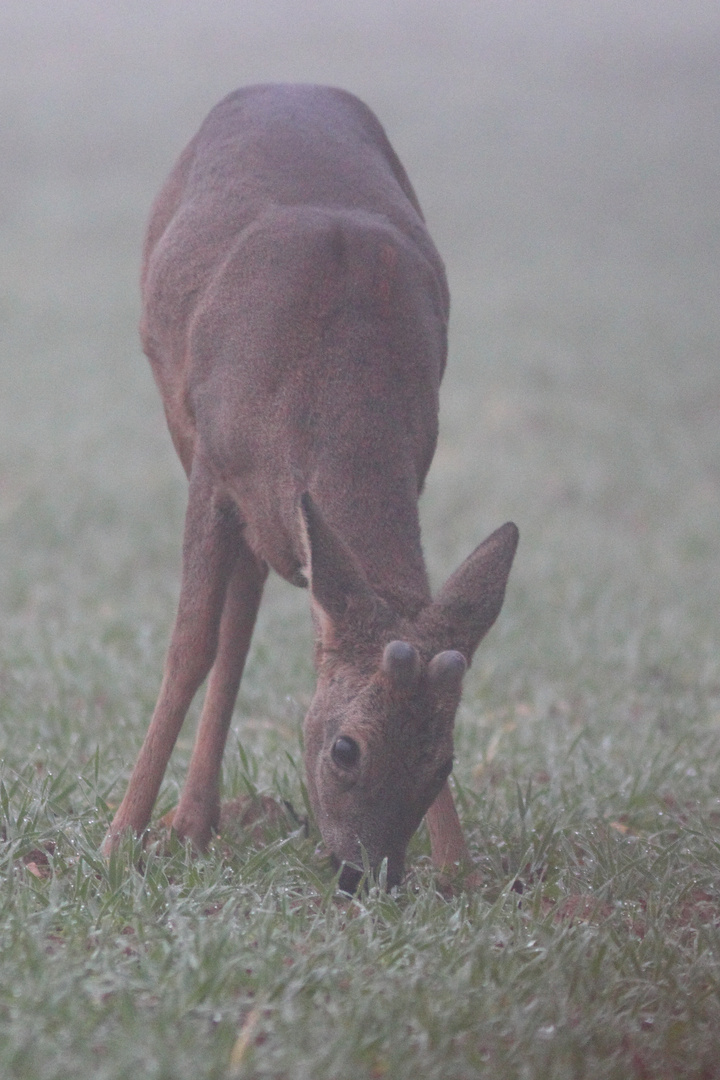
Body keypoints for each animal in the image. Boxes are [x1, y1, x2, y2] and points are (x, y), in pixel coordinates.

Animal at [105, 84, 518, 889]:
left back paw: (197, 820)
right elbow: (189, 646)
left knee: (246, 611)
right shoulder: (212, 465)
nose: (368, 876)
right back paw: (186, 822)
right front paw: (117, 840)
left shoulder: (417, 457)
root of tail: (283, 83)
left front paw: (460, 870)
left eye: (444, 762)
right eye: (345, 749)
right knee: (231, 627)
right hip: (184, 426)